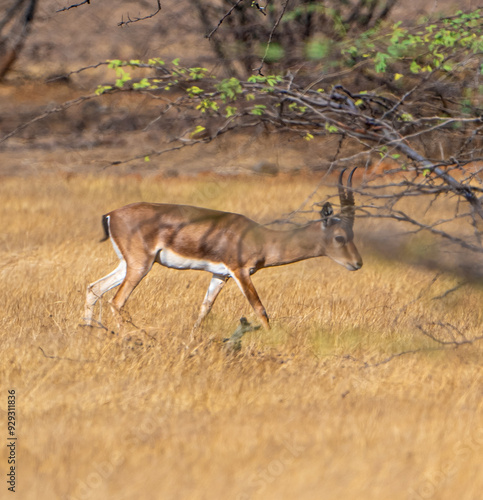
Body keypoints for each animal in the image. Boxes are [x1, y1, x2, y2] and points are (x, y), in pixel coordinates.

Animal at [84, 170, 364, 330]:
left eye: (352, 234)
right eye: (339, 237)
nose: (357, 263)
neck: (262, 238)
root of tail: (111, 214)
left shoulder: (220, 275)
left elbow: (204, 309)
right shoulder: (240, 272)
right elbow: (260, 309)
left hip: (128, 264)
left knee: (94, 288)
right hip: (140, 266)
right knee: (116, 301)